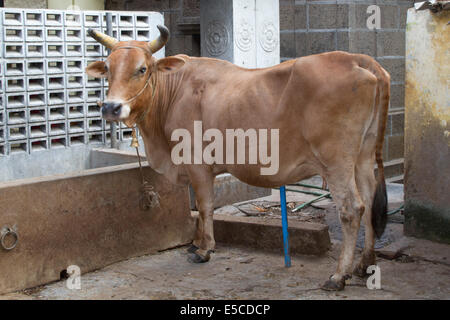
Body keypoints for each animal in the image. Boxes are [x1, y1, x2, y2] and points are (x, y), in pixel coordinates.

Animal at [86, 25, 388, 290]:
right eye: (108, 69)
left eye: (142, 69)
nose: (111, 108)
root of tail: (356, 59)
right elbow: (198, 206)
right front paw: (196, 243)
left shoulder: (197, 163)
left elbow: (205, 206)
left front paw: (204, 249)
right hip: (363, 156)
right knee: (370, 198)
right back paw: (364, 263)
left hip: (336, 163)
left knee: (352, 209)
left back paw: (338, 275)